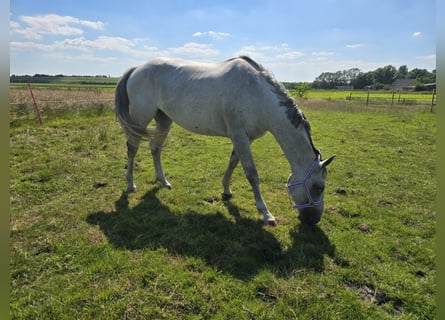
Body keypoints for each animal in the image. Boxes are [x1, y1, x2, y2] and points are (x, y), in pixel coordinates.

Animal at [114, 55, 332, 225]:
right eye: (319, 187)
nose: (314, 220)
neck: (257, 94)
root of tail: (137, 68)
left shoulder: (245, 138)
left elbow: (233, 162)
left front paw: (226, 190)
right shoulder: (239, 136)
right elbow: (252, 173)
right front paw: (266, 214)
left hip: (163, 118)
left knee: (155, 148)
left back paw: (163, 181)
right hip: (141, 118)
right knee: (132, 147)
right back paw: (130, 185)